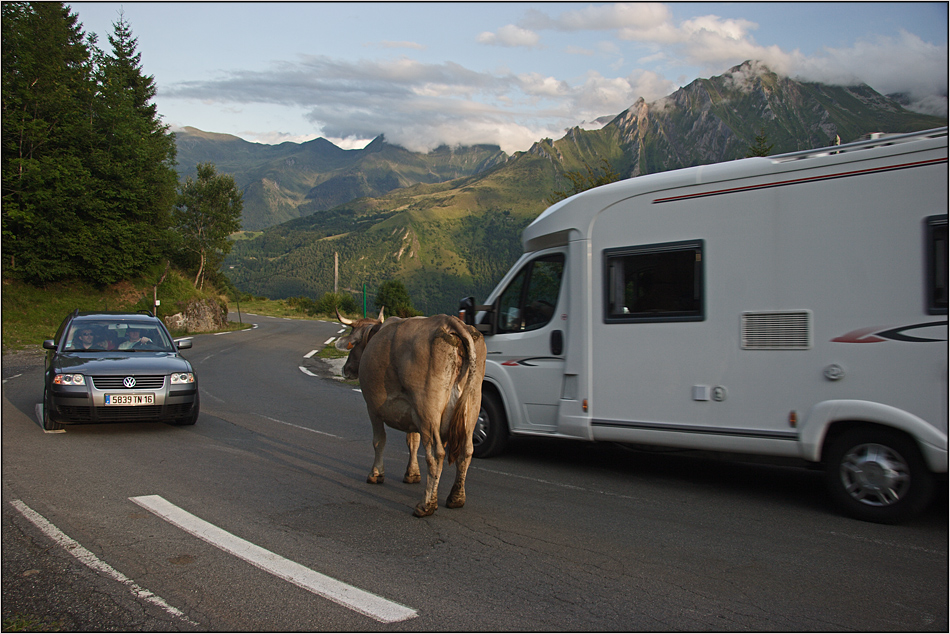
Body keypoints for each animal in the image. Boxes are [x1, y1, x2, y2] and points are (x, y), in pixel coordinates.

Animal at [334, 308, 488, 516]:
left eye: (354, 345)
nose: (346, 369)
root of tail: (450, 322)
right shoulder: (412, 413)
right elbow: (412, 442)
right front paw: (412, 474)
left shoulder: (373, 408)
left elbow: (379, 441)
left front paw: (376, 474)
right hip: (470, 406)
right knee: (466, 451)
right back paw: (456, 498)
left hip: (427, 409)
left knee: (436, 454)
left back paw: (426, 504)